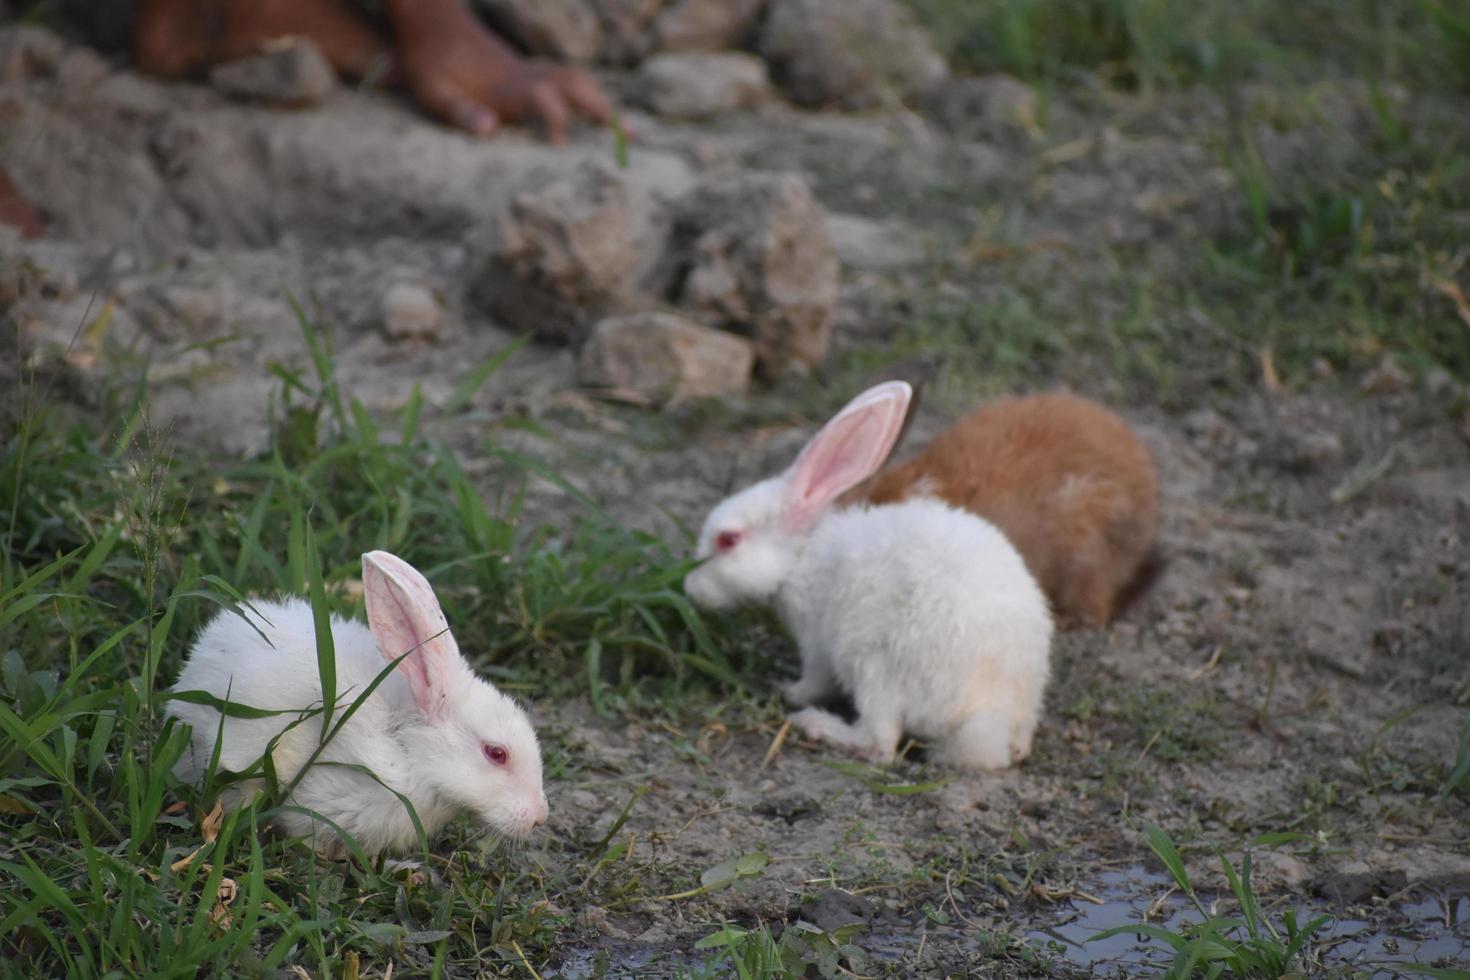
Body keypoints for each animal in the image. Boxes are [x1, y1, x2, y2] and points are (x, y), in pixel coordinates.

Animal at [682, 379, 1052, 769]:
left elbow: (814, 679)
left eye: (728, 540)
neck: (801, 556)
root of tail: (987, 713)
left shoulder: (816, 643)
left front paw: (790, 691)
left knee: (879, 744)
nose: (691, 589)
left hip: (874, 666)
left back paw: (815, 723)